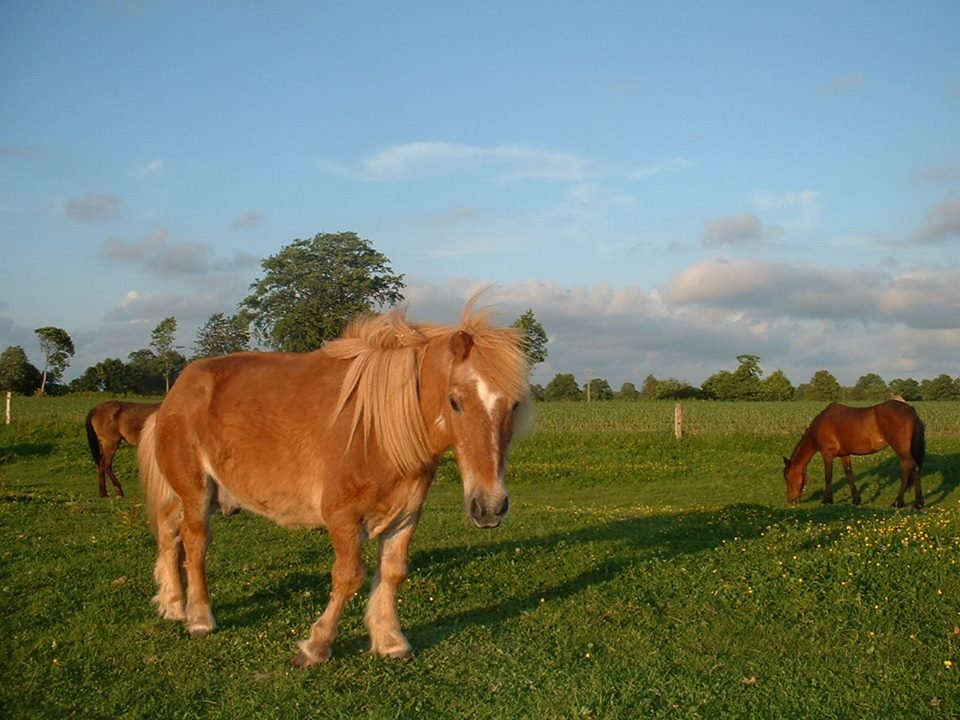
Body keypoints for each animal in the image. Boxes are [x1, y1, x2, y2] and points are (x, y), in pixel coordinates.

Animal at [135, 298, 532, 664]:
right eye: (455, 402)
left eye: (513, 406)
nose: (490, 506)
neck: (376, 430)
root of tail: (175, 392)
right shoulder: (342, 518)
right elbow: (349, 576)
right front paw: (316, 646)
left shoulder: (405, 516)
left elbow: (393, 573)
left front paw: (391, 640)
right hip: (196, 491)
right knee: (195, 543)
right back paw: (200, 618)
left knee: (170, 536)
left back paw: (173, 604)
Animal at [784, 396, 928, 510]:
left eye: (787, 477)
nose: (791, 500)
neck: (820, 425)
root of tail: (909, 409)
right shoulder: (844, 455)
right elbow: (849, 475)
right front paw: (856, 500)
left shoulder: (827, 454)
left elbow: (828, 476)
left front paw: (827, 500)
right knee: (915, 468)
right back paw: (918, 504)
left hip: (900, 448)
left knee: (907, 467)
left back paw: (898, 502)